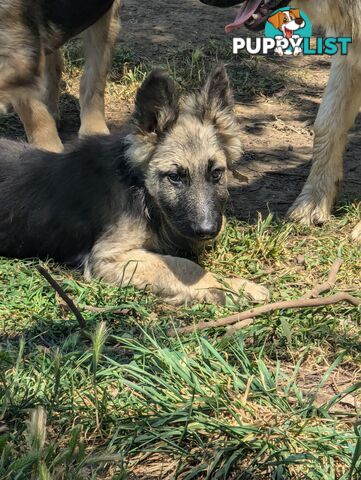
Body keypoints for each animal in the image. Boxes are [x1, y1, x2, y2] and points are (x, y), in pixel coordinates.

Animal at [0, 65, 268, 306]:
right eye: (175, 177)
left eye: (216, 173)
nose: (207, 230)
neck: (139, 188)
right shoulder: (109, 256)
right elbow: (183, 265)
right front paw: (234, 287)